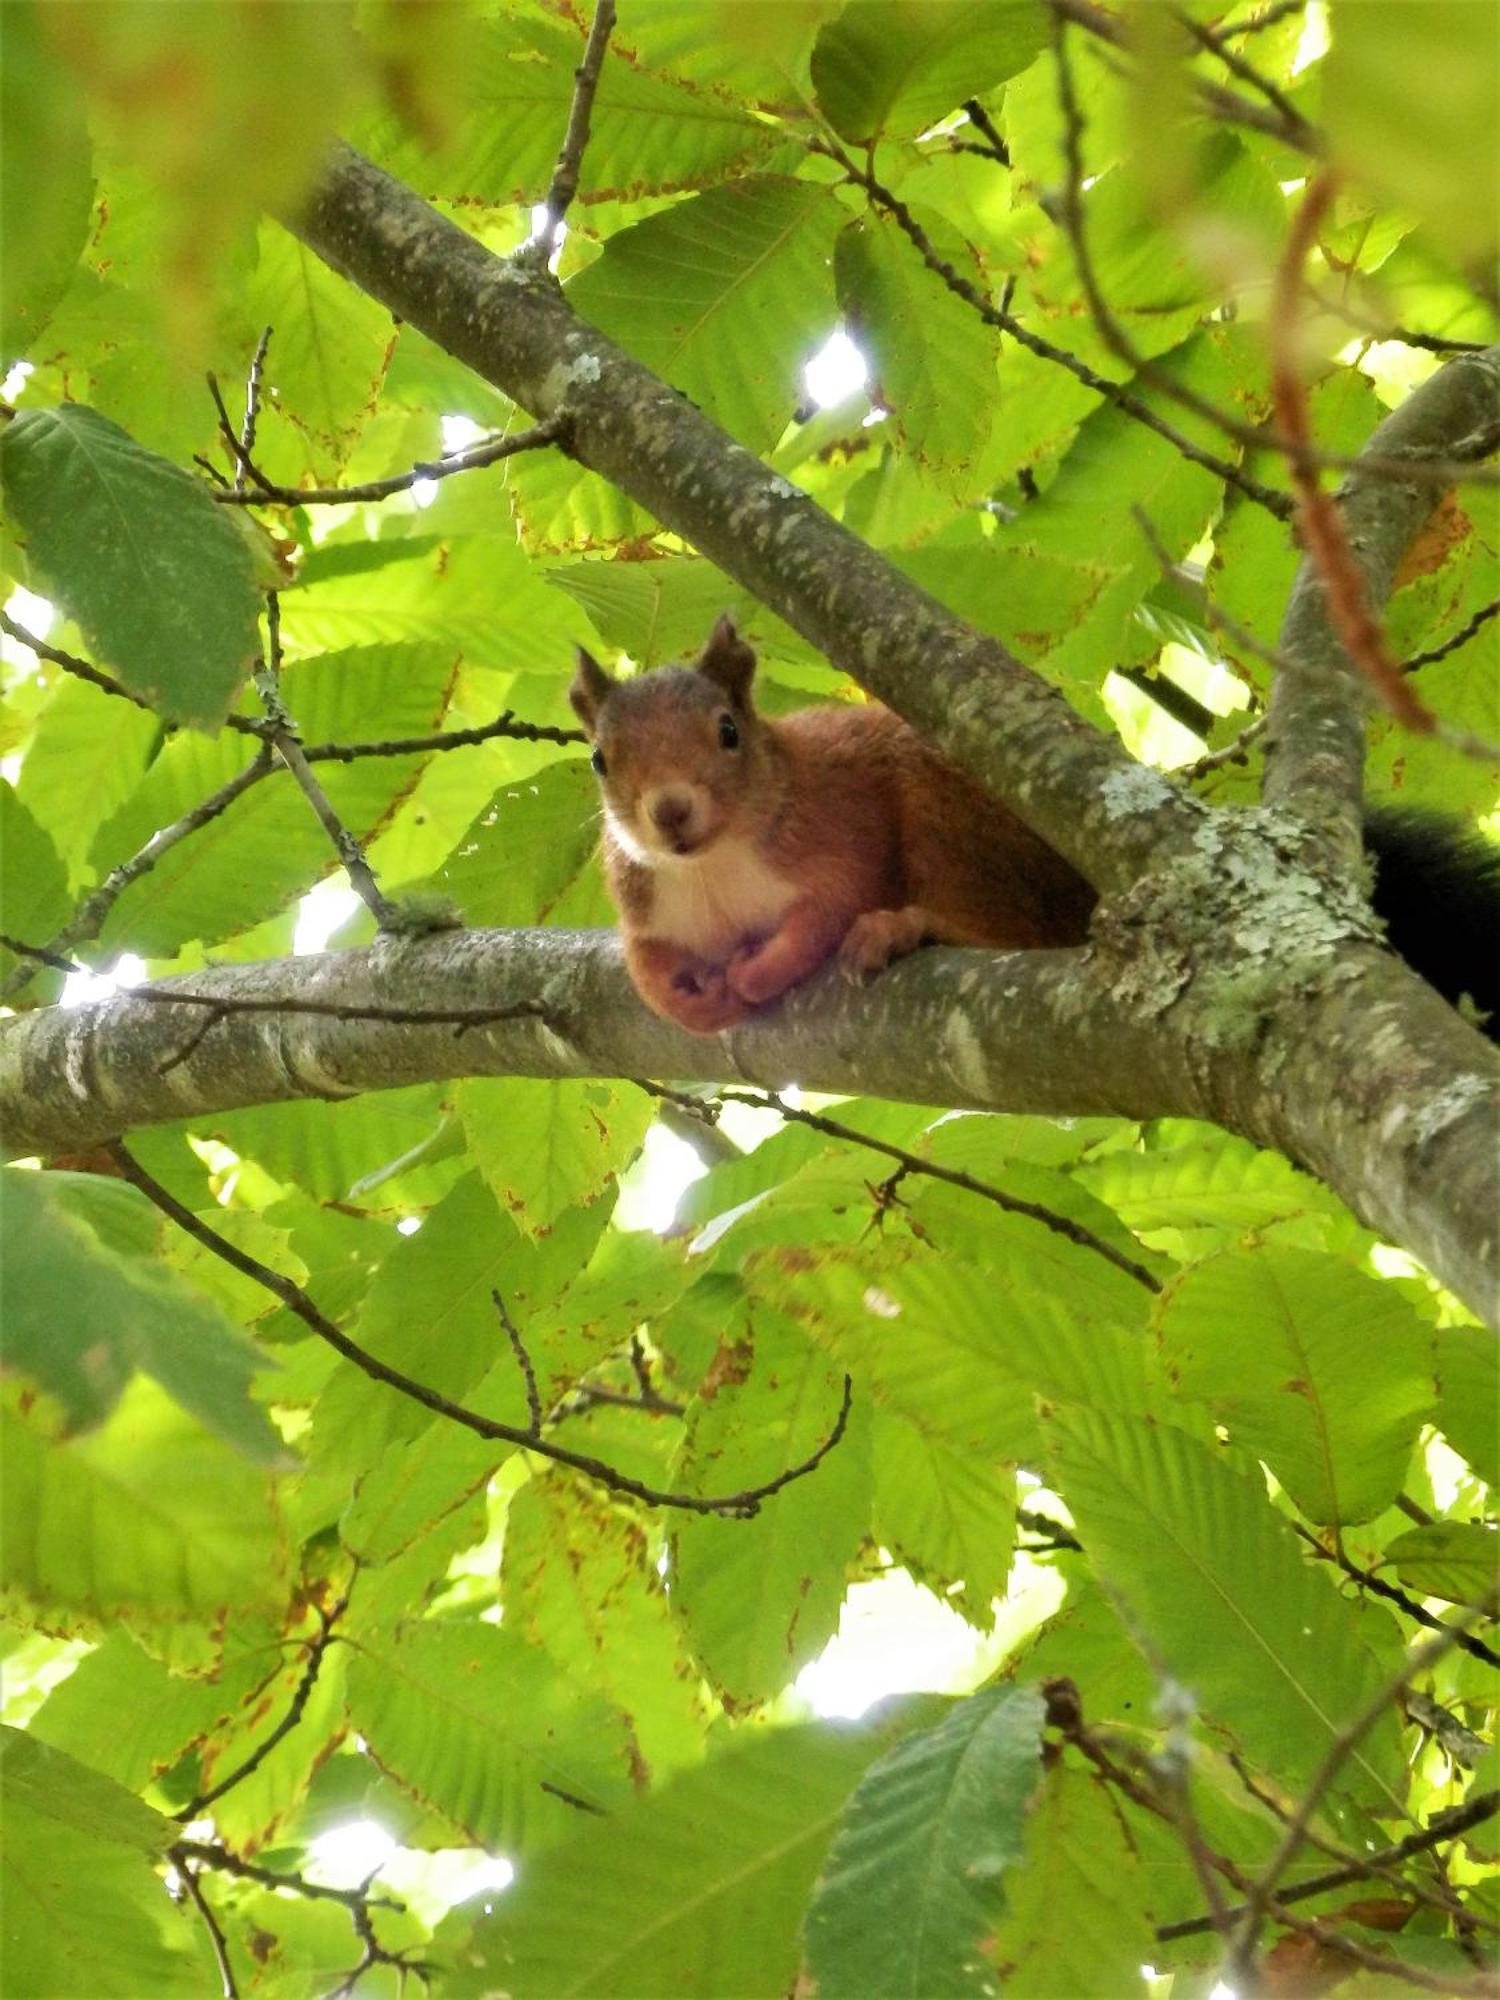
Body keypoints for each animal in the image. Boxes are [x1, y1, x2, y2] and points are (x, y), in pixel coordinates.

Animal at [568, 616, 1096, 1040]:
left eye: (728, 731)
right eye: (599, 760)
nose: (670, 810)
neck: (711, 865)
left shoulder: (842, 830)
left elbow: (832, 908)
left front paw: (756, 974)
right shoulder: (648, 908)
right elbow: (644, 965)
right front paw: (688, 1005)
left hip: (959, 823)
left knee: (1022, 932)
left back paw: (901, 929)